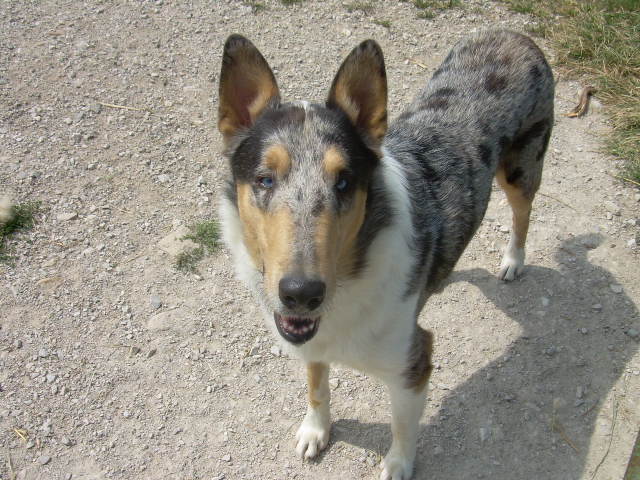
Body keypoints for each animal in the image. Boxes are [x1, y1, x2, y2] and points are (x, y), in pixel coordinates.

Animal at [216, 30, 556, 480]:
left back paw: (514, 260)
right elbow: (317, 386)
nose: (301, 293)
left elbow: (402, 424)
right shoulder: (312, 340)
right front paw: (316, 430)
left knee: (523, 213)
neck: (351, 274)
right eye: (264, 179)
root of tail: (514, 34)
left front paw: (398, 465)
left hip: (520, 169)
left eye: (344, 182)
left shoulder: (413, 361)